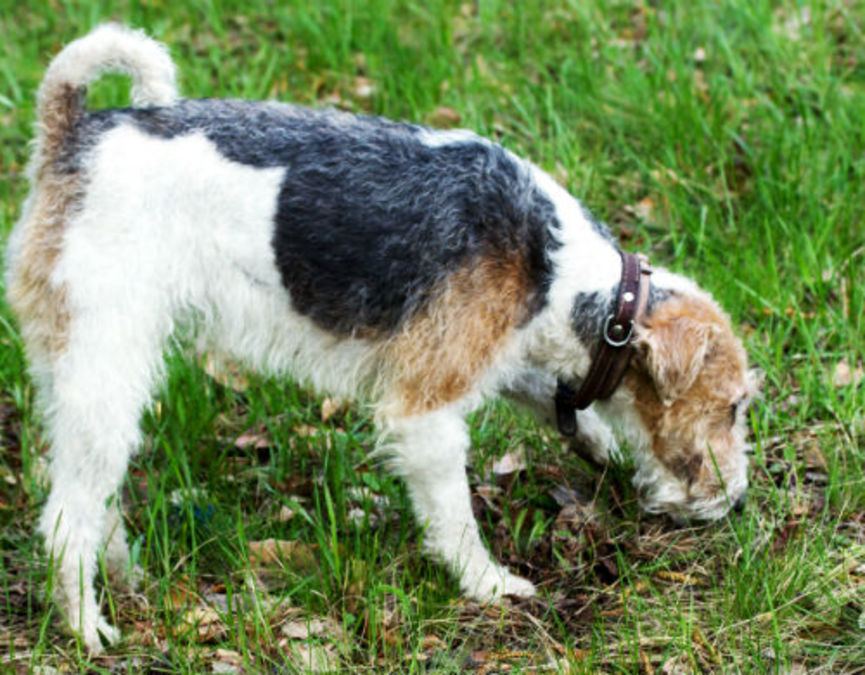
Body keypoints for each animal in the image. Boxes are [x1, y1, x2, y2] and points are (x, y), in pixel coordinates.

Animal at [6, 25, 752, 648]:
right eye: (733, 405)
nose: (737, 500)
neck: (562, 271)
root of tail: (73, 130)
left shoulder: (500, 351)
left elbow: (554, 397)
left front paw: (597, 443)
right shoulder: (425, 406)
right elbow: (452, 514)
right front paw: (488, 585)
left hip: (72, 364)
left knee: (91, 495)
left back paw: (123, 576)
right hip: (107, 361)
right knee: (65, 518)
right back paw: (88, 628)